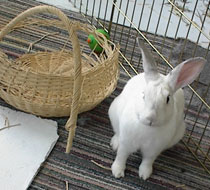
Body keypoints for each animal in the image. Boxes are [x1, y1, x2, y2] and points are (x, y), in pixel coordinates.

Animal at [109, 37, 206, 180]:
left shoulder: (153, 150)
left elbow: (147, 161)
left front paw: (144, 175)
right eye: (143, 94)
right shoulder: (126, 143)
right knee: (117, 133)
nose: (150, 118)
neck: (148, 128)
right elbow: (121, 156)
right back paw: (114, 143)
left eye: (168, 99)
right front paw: (117, 172)